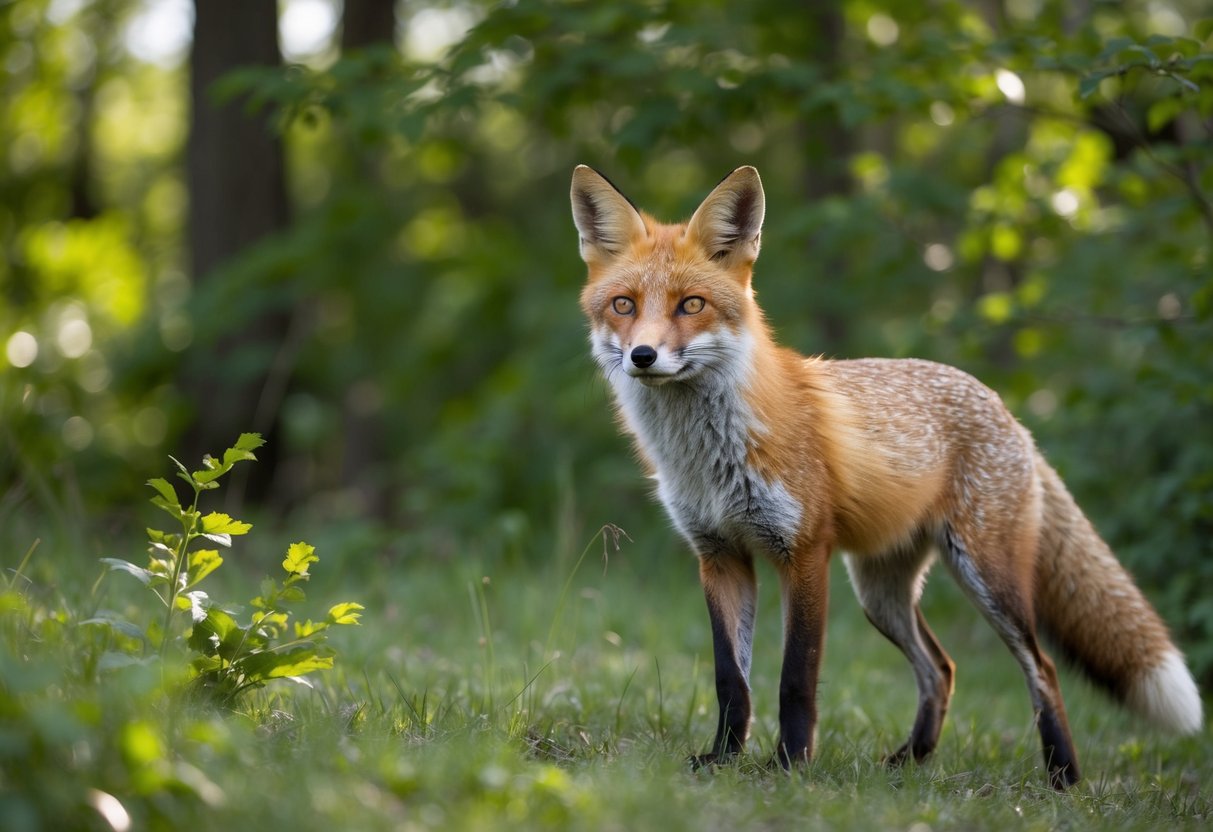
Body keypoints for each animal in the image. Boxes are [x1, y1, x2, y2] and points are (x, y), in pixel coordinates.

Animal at [571, 164, 1203, 789]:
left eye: (691, 304)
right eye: (624, 305)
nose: (643, 356)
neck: (707, 455)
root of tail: (1007, 412)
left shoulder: (805, 553)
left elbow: (795, 678)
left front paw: (789, 766)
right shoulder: (720, 555)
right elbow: (732, 681)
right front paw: (723, 759)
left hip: (987, 578)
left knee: (1041, 667)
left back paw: (1063, 776)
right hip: (881, 593)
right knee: (941, 669)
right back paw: (911, 761)